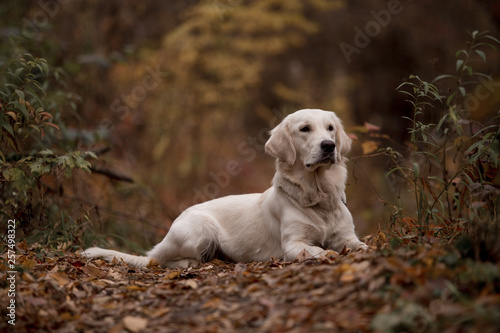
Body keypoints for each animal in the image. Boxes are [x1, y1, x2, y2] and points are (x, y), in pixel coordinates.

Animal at [83, 109, 368, 268]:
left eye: (330, 128)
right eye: (305, 129)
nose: (329, 145)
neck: (318, 195)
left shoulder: (346, 236)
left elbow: (360, 245)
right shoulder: (293, 244)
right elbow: (318, 249)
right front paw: (326, 254)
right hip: (199, 231)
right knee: (161, 261)